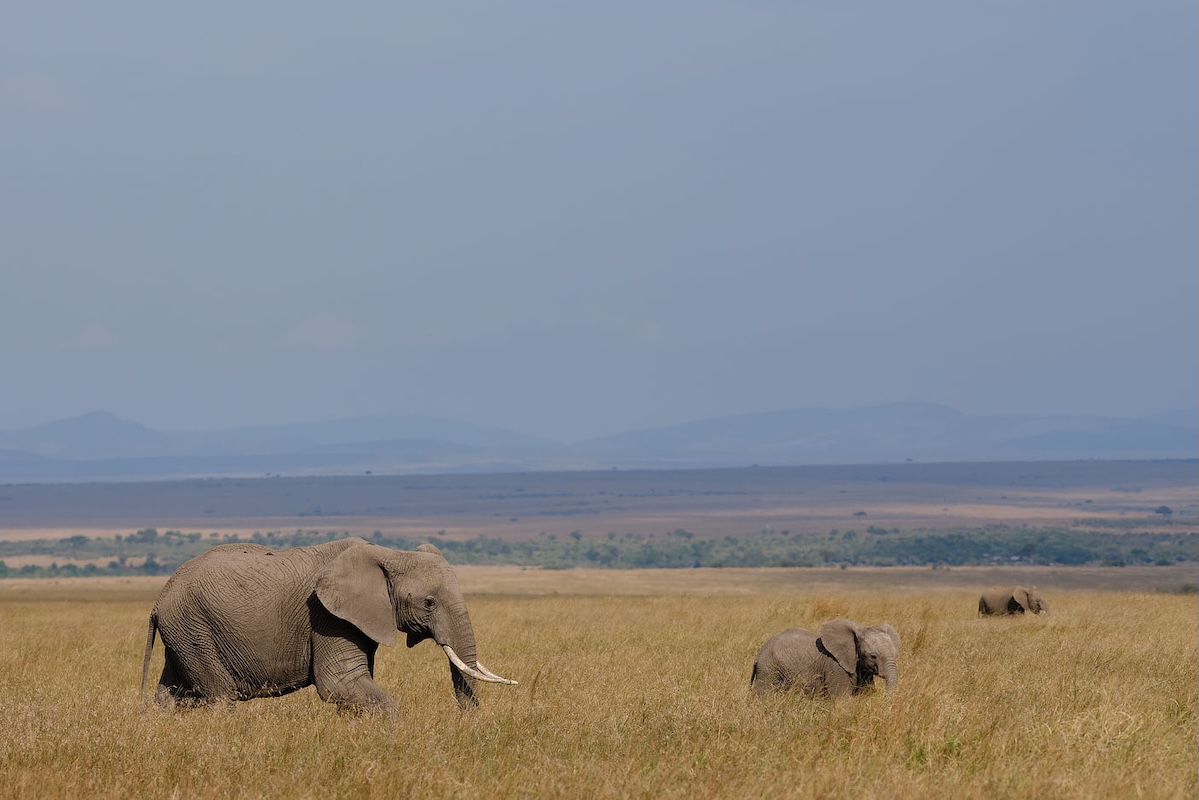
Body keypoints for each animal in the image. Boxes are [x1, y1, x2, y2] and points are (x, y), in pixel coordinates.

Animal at [140, 537, 516, 713]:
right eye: (428, 603)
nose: (468, 722)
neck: (388, 553)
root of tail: (158, 601)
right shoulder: (327, 616)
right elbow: (340, 684)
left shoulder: (355, 618)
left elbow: (353, 686)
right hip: (195, 628)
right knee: (219, 695)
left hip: (185, 632)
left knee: (172, 695)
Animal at [750, 618, 900, 696]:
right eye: (873, 656)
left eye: (895, 654)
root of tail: (759, 653)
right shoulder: (835, 666)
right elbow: (842, 699)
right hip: (769, 669)